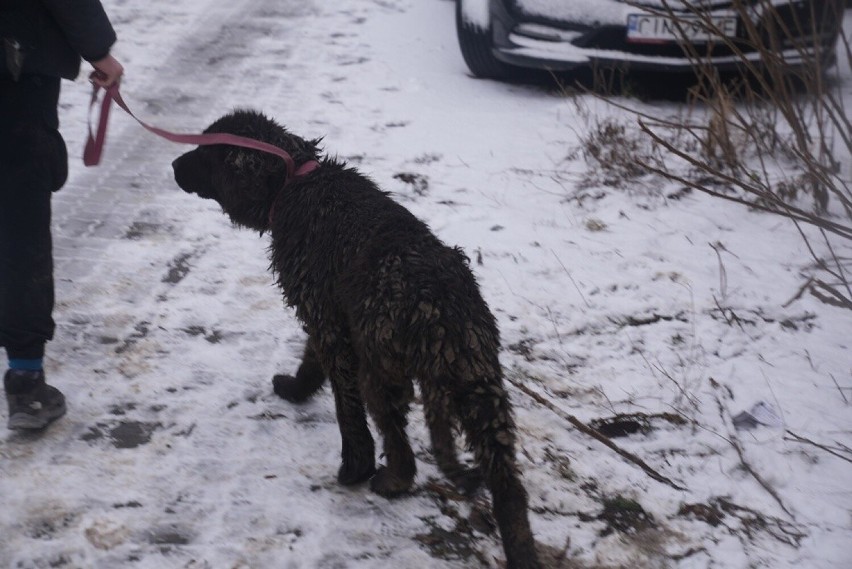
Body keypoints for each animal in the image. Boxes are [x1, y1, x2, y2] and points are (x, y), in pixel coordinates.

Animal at [172, 111, 544, 568]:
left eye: (206, 152)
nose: (173, 165)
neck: (293, 180)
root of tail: (438, 308)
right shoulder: (328, 313)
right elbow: (311, 363)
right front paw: (296, 389)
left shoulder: (328, 321)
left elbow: (346, 410)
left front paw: (353, 464)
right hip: (478, 380)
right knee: (507, 483)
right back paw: (521, 552)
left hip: (382, 368)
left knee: (399, 446)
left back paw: (388, 481)